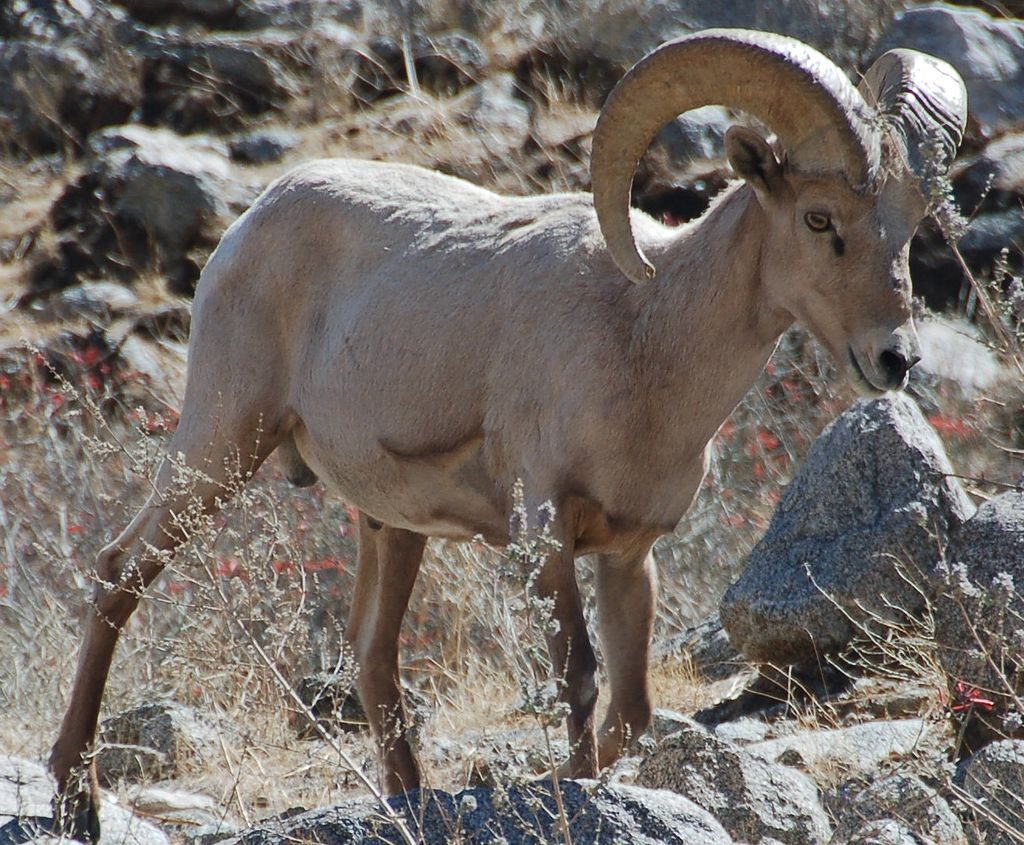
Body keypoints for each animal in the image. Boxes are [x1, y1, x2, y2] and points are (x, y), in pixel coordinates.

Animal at [49, 29, 966, 839]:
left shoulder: (629, 554)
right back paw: (73, 799)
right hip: (220, 444)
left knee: (374, 657)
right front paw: (572, 793)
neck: (645, 337)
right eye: (818, 219)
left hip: (388, 526)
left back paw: (405, 804)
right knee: (119, 573)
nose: (895, 358)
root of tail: (250, 223)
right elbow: (580, 681)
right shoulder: (546, 534)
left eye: (909, 222)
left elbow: (631, 708)